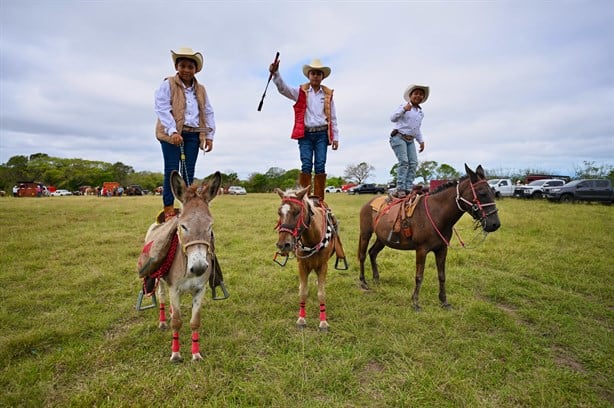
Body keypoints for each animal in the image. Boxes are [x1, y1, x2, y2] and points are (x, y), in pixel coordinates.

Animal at [156, 171, 221, 362]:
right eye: (183, 226)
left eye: (210, 226)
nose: (199, 268)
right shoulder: (174, 289)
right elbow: (176, 323)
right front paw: (176, 354)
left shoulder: (200, 289)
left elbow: (195, 322)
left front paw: (196, 354)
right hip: (160, 281)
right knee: (162, 297)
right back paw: (163, 321)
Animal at [276, 186, 346, 332]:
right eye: (279, 212)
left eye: (297, 212)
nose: (283, 244)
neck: (313, 239)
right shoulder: (302, 265)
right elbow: (303, 292)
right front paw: (301, 319)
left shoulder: (323, 266)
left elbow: (321, 293)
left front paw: (323, 322)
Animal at [360, 164, 500, 310]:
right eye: (482, 193)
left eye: (492, 192)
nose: (495, 224)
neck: (436, 214)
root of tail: (369, 203)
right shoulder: (421, 250)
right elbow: (419, 276)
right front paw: (415, 302)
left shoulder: (442, 249)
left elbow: (442, 276)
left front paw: (444, 301)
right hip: (365, 234)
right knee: (362, 255)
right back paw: (363, 282)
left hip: (382, 239)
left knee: (372, 253)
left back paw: (376, 279)